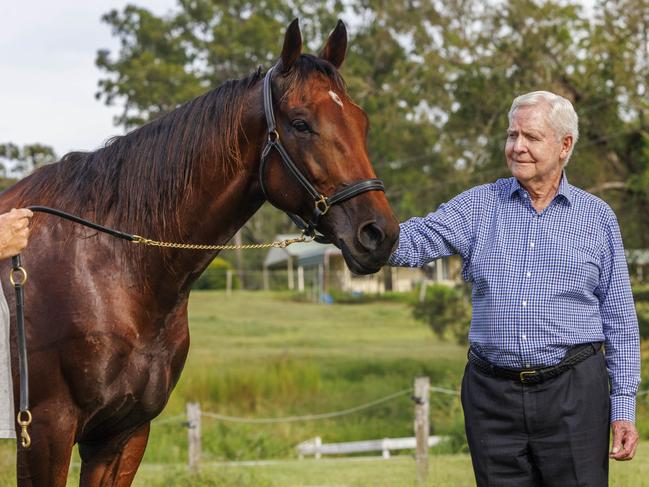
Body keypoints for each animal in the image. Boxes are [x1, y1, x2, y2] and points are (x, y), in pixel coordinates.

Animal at [0, 18, 398, 484]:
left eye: (361, 122)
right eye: (301, 124)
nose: (378, 234)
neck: (108, 269)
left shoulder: (123, 434)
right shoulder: (46, 433)